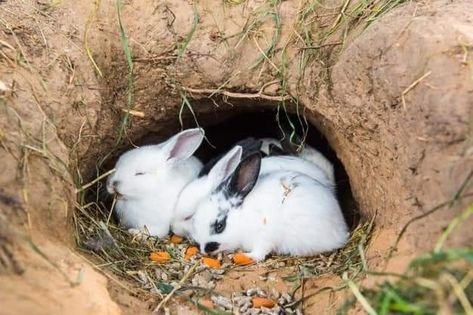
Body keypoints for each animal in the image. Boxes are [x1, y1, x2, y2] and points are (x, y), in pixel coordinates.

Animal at [188, 152, 346, 260]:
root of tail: (342, 231)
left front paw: (247, 256)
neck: (243, 217)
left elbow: (260, 252)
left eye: (220, 226)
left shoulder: (264, 236)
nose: (206, 249)